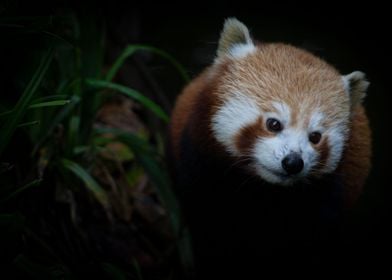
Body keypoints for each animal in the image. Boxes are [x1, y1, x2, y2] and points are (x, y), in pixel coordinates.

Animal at [168, 18, 370, 278]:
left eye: (315, 136)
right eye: (273, 124)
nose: (293, 162)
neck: (263, 191)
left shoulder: (330, 200)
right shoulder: (199, 168)